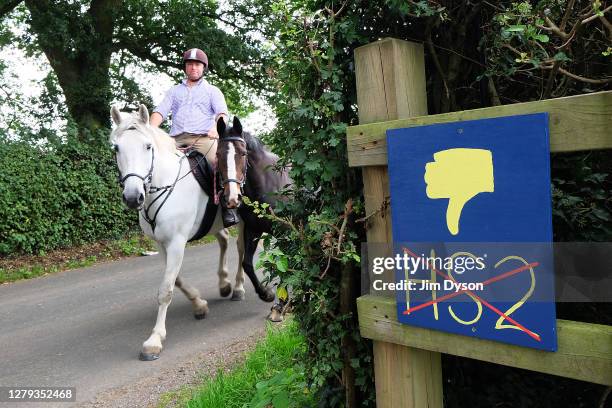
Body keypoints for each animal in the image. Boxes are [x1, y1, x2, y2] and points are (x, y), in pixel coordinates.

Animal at [110, 104, 246, 360]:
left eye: (148, 146)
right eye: (116, 148)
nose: (133, 197)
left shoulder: (176, 242)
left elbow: (166, 289)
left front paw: (154, 341)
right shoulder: (162, 244)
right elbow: (176, 279)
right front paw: (199, 304)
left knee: (242, 250)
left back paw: (238, 287)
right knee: (224, 241)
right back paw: (224, 284)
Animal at [215, 116, 292, 310]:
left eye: (243, 154)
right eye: (218, 154)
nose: (232, 198)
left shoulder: (285, 231)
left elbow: (287, 262)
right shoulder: (253, 229)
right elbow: (247, 264)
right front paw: (266, 294)